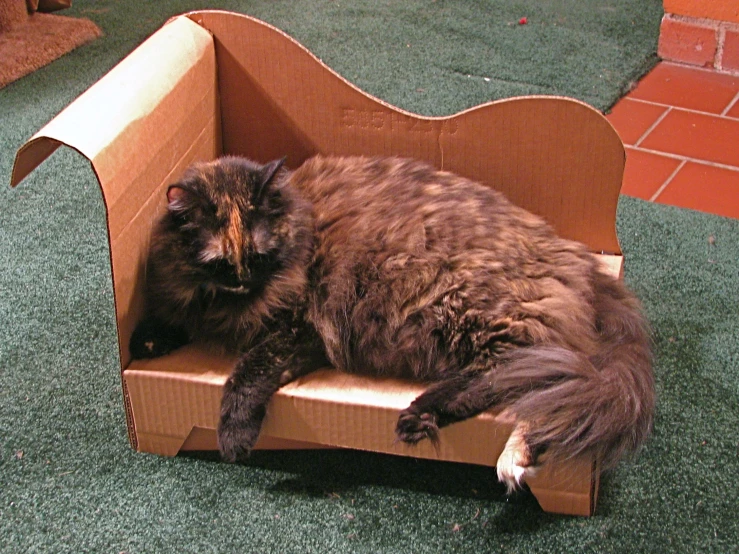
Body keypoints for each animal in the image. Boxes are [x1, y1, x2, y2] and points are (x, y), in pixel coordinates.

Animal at [130, 152, 656, 488]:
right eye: (221, 264)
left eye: (259, 256)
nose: (243, 282)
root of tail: (576, 256)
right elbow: (171, 319)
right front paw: (144, 341)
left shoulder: (299, 332)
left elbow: (246, 374)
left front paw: (234, 436)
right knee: (542, 385)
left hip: (471, 311)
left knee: (536, 380)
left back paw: (443, 427)